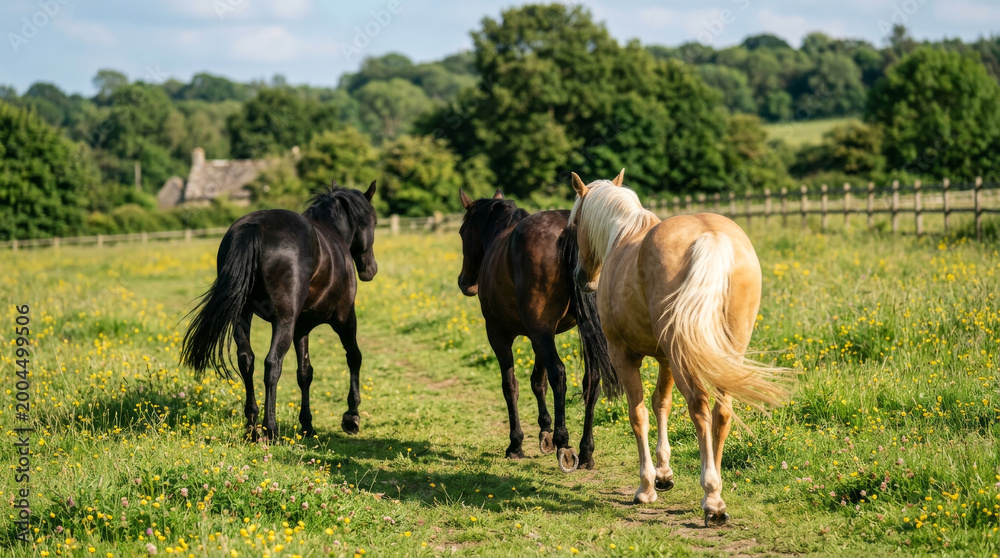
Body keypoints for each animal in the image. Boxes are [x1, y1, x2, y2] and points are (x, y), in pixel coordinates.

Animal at [181, 181, 379, 441]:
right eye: (374, 221)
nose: (370, 270)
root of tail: (255, 226)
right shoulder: (344, 318)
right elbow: (354, 357)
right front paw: (351, 417)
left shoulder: (301, 328)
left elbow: (305, 373)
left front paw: (307, 425)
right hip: (284, 321)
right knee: (272, 364)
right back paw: (270, 429)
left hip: (242, 317)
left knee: (247, 360)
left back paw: (252, 426)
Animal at [458, 189, 620, 472]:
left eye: (462, 232)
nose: (465, 283)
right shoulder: (540, 334)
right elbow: (538, 381)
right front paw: (545, 432)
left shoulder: (501, 335)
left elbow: (511, 385)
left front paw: (516, 444)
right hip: (583, 330)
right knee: (592, 380)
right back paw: (586, 451)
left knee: (559, 374)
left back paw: (564, 445)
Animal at [567, 171, 789, 525]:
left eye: (574, 224)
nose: (581, 277)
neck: (624, 237)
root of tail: (710, 236)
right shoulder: (666, 359)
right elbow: (661, 404)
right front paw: (664, 474)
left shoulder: (625, 355)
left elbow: (639, 413)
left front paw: (647, 486)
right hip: (723, 354)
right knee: (721, 411)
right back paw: (715, 489)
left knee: (699, 406)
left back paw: (711, 498)